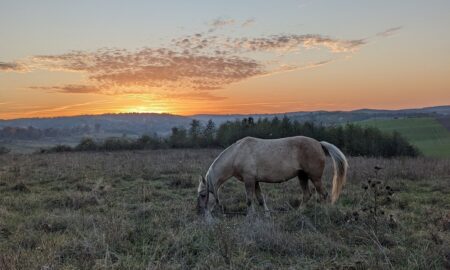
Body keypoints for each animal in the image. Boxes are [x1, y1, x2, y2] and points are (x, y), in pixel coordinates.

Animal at [196, 136, 348, 216]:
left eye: (203, 195)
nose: (200, 212)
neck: (237, 154)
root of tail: (319, 143)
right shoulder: (255, 181)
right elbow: (260, 199)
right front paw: (266, 214)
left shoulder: (249, 180)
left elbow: (249, 200)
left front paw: (250, 216)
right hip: (302, 176)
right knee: (307, 195)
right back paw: (298, 212)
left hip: (315, 178)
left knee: (323, 194)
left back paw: (325, 213)